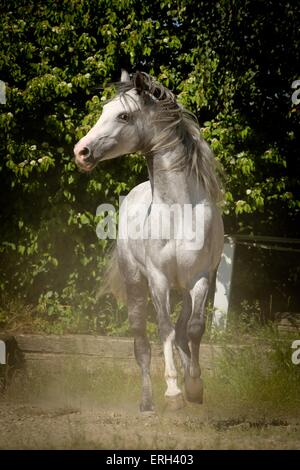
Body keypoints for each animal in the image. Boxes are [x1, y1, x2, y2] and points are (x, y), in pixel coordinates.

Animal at [74, 70, 224, 412]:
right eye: (104, 110)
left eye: (123, 115)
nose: (81, 152)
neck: (178, 212)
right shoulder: (158, 280)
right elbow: (164, 330)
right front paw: (173, 392)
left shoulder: (199, 278)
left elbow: (194, 329)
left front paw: (194, 387)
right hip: (135, 284)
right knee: (142, 342)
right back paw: (147, 402)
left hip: (183, 289)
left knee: (182, 332)